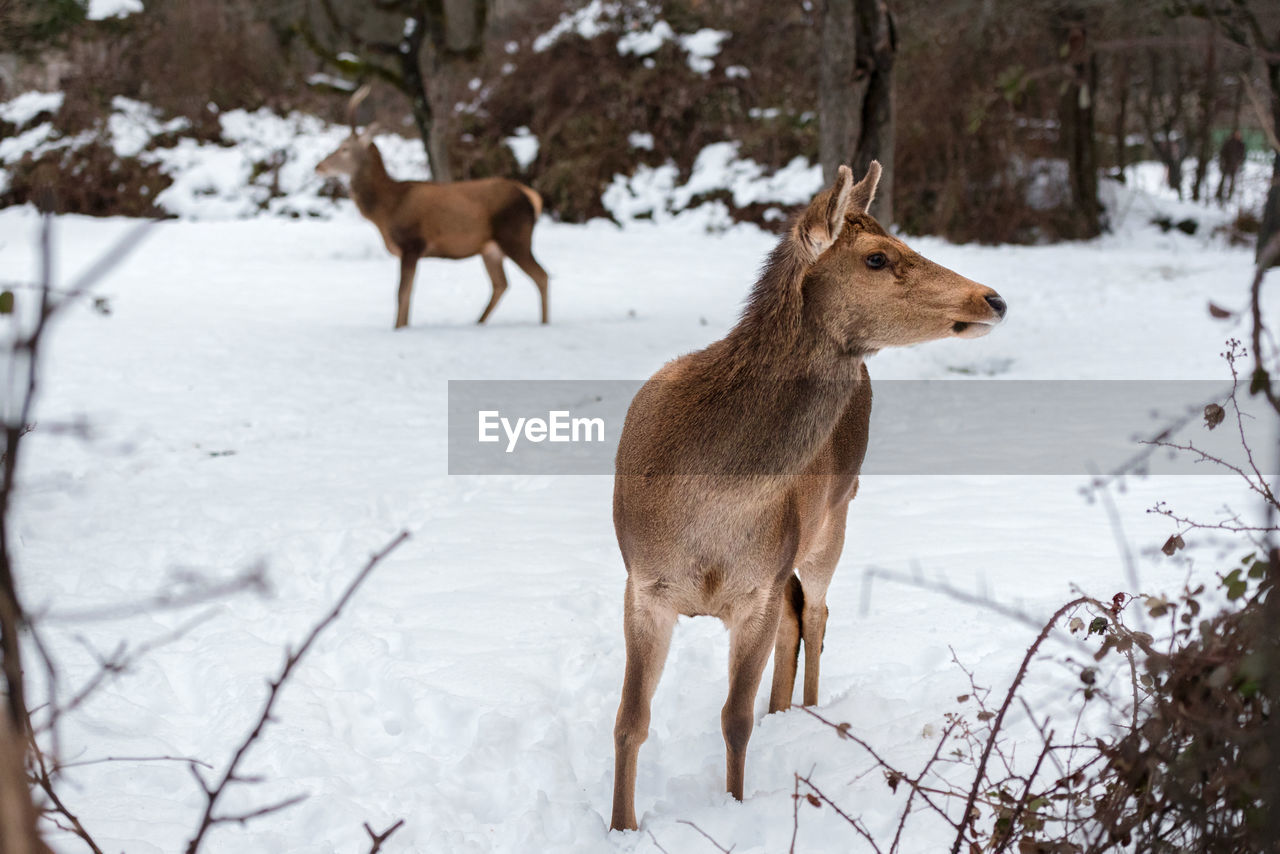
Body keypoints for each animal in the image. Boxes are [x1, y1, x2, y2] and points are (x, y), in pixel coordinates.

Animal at [316, 84, 550, 330]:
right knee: (501, 283)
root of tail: (531, 197)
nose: (319, 167)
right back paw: (478, 322)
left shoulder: (411, 243)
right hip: (491, 248)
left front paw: (398, 328)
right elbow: (408, 294)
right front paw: (404, 326)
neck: (386, 209)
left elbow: (402, 294)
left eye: (344, 148)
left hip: (515, 236)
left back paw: (543, 324)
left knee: (541, 276)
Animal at [609, 161, 1008, 834]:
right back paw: (786, 714)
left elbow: (734, 720)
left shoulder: (759, 586)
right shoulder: (643, 584)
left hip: (835, 514)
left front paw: (734, 807)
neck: (706, 500)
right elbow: (629, 722)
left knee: (816, 611)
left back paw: (811, 715)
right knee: (799, 617)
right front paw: (620, 826)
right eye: (877, 257)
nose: (993, 298)